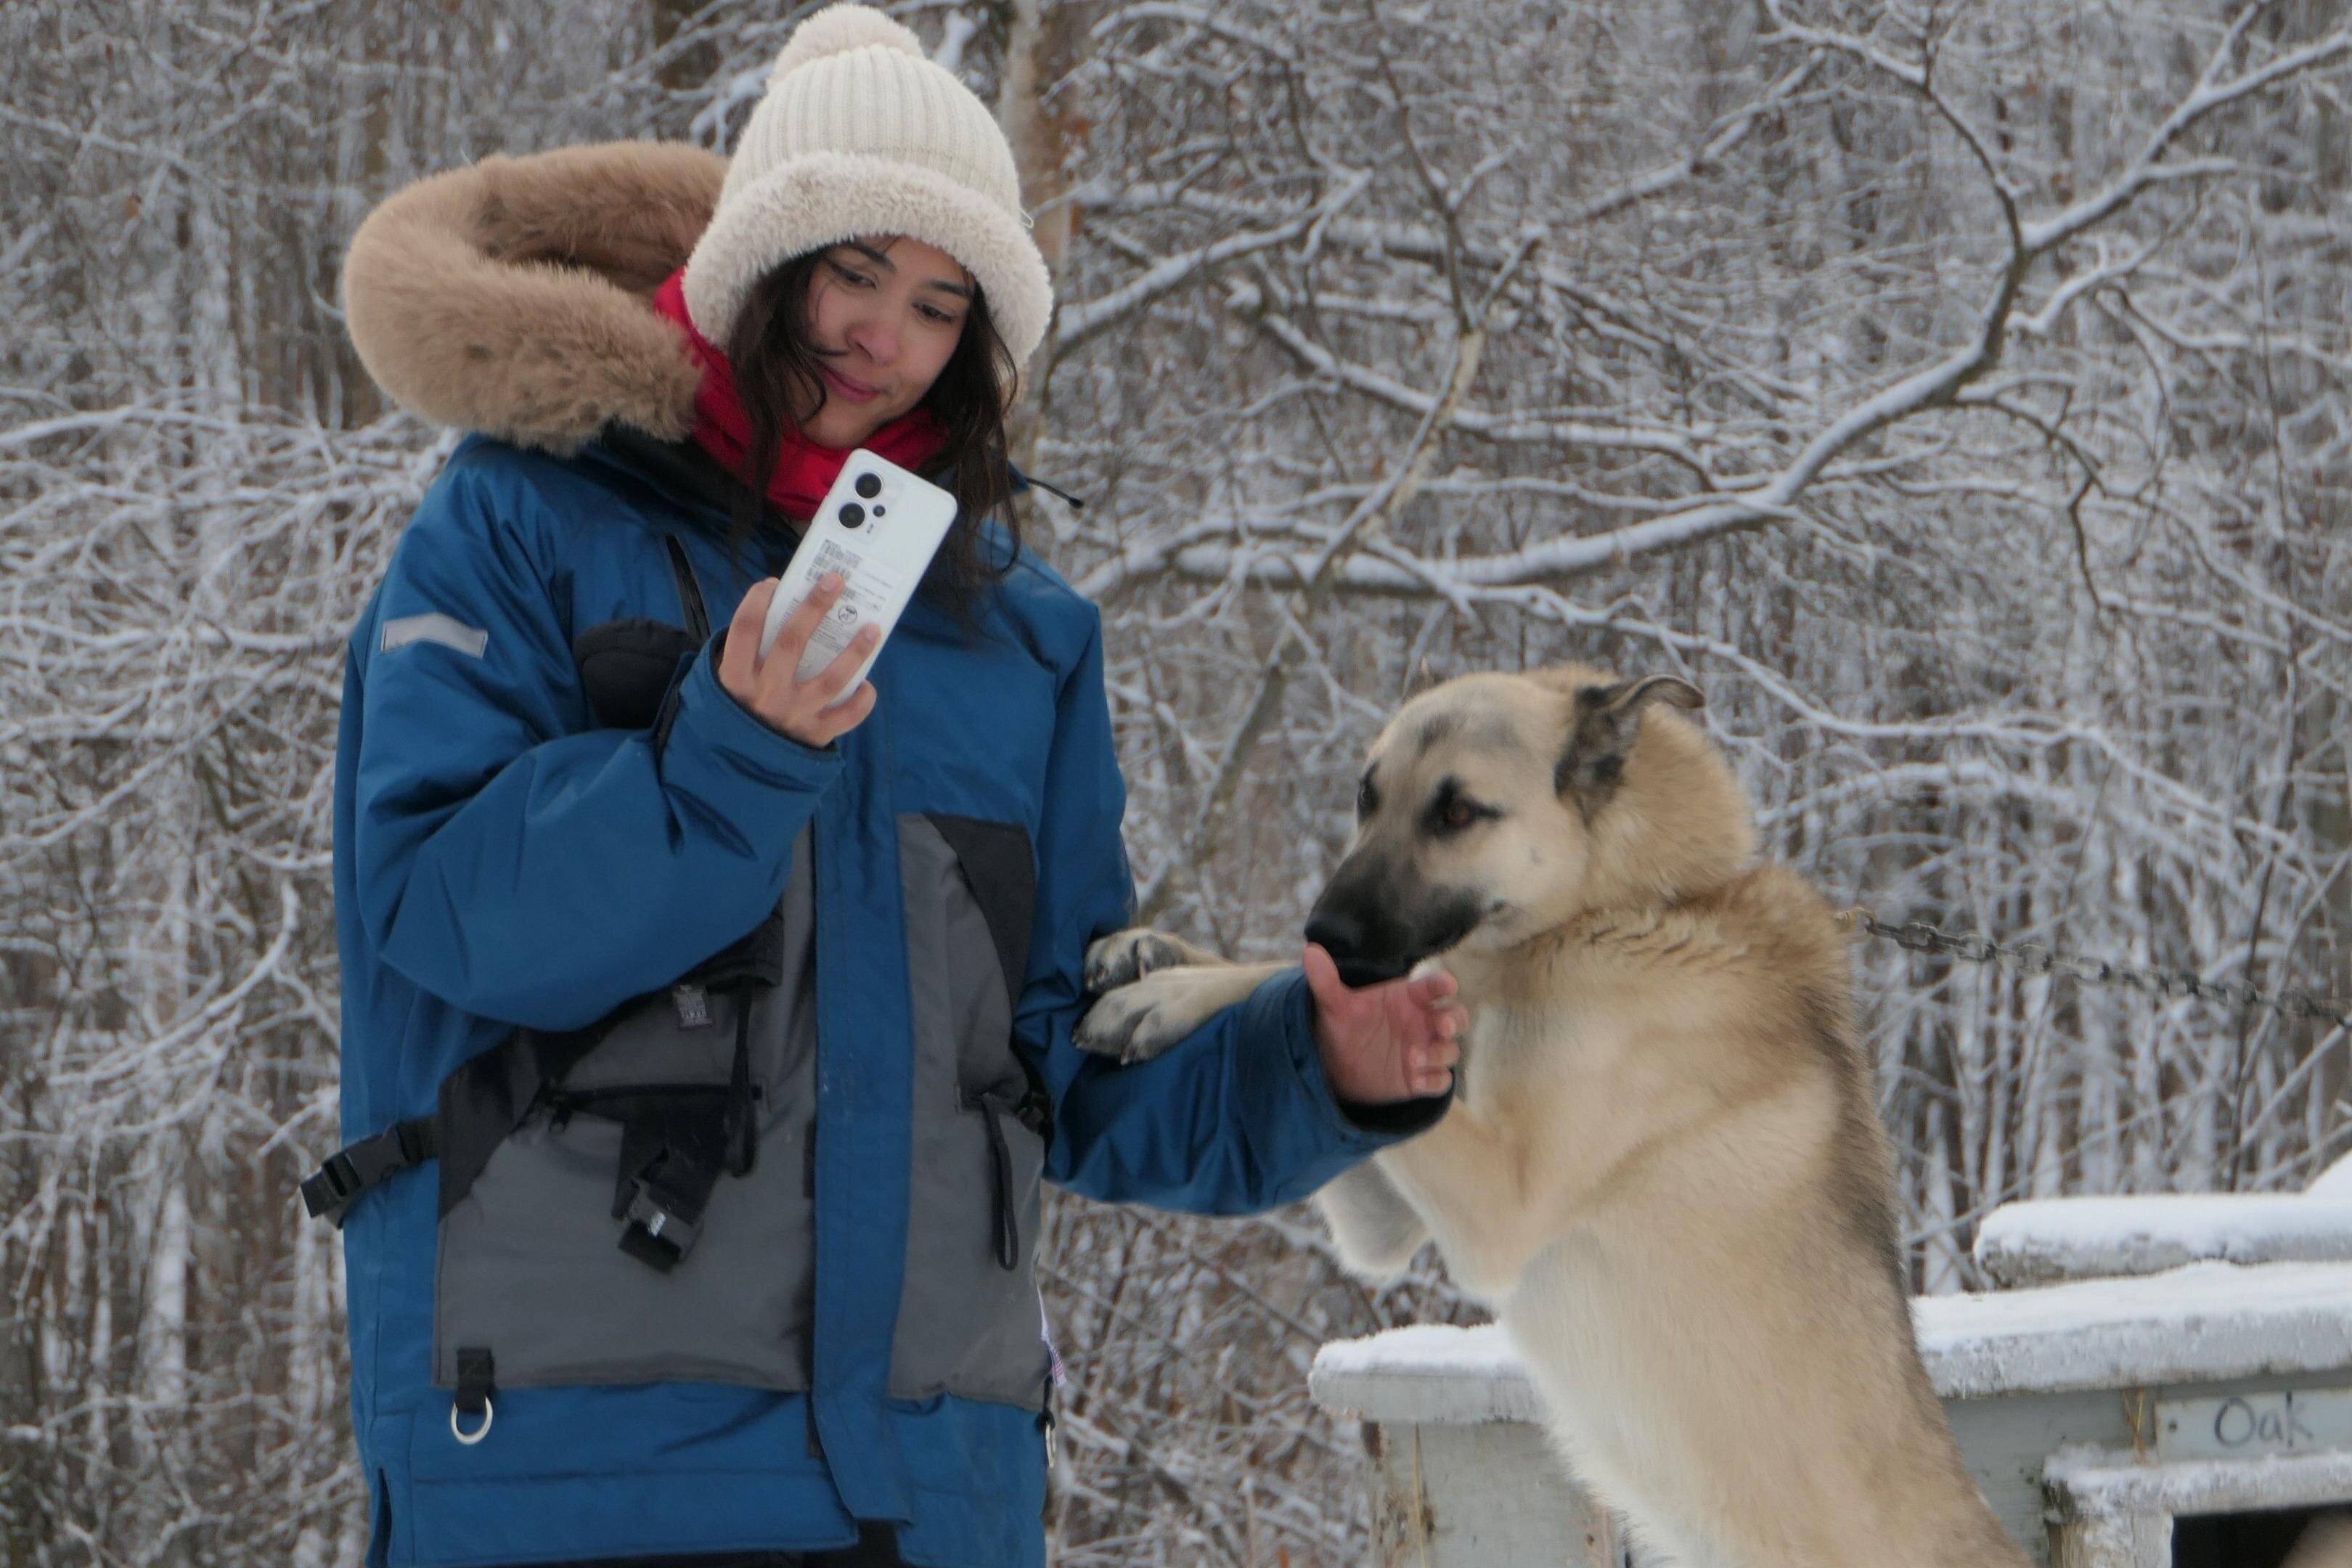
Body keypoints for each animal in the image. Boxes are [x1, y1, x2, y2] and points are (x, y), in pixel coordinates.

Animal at [1076, 665, 2030, 1567]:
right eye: (1366, 797)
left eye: (1458, 811)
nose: (1328, 932)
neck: (1623, 911)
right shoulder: (1383, 1204)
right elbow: (1292, 1008)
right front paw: (1161, 954)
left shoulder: (1497, 1201)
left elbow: (1297, 992)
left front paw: (1167, 991)